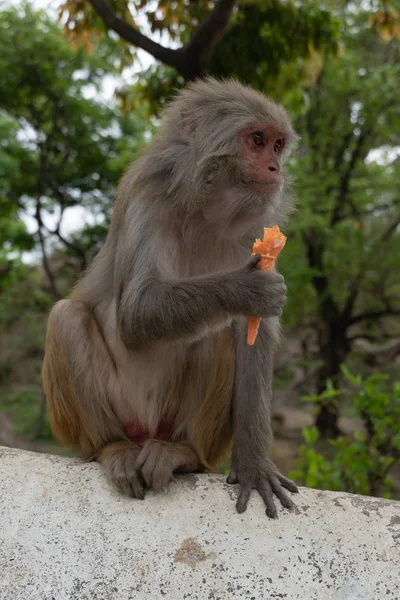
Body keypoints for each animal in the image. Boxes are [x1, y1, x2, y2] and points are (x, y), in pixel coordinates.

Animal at [43, 77, 300, 516]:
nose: (275, 169)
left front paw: (254, 463)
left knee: (216, 334)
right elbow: (135, 312)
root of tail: (144, 432)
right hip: (102, 418)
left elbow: (252, 337)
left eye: (278, 145)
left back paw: (183, 452)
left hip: (176, 425)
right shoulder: (148, 192)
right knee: (67, 317)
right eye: (258, 140)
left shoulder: (259, 229)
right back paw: (112, 447)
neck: (207, 211)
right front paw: (245, 289)